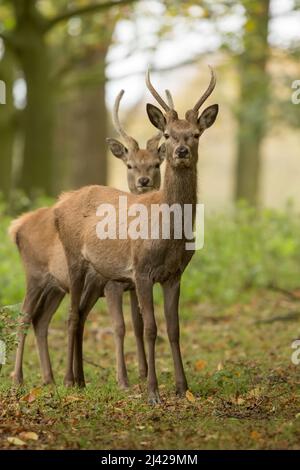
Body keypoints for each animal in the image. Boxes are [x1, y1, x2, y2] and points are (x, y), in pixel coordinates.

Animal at [8, 88, 166, 390]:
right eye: (130, 165)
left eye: (155, 164)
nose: (144, 181)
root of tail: (16, 227)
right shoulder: (113, 284)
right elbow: (120, 326)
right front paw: (125, 379)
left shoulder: (130, 283)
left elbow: (138, 322)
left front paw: (142, 372)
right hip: (34, 274)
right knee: (24, 317)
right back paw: (19, 378)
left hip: (56, 287)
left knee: (41, 320)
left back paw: (50, 378)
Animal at [54, 67, 218, 404]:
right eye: (168, 134)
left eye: (196, 134)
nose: (181, 151)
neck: (168, 233)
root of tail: (59, 205)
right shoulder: (141, 271)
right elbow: (151, 328)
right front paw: (153, 392)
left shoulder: (175, 274)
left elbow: (174, 328)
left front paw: (183, 387)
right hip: (74, 257)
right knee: (72, 315)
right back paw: (68, 381)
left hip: (99, 275)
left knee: (82, 314)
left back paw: (82, 380)